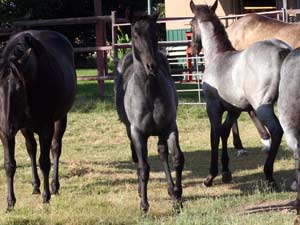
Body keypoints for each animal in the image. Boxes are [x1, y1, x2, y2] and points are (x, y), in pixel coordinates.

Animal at [0, 30, 76, 211]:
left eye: (18, 89)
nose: (7, 126)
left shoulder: (45, 128)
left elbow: (45, 162)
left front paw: (46, 197)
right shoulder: (6, 133)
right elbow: (9, 165)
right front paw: (10, 202)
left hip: (60, 118)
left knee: (55, 148)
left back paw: (54, 186)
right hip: (25, 129)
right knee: (31, 149)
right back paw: (35, 186)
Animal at [115, 12, 184, 213]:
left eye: (155, 35)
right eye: (135, 35)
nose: (152, 66)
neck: (150, 92)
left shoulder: (170, 127)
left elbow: (177, 158)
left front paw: (177, 197)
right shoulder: (138, 133)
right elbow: (144, 167)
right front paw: (144, 206)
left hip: (160, 132)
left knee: (162, 154)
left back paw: (171, 190)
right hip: (129, 130)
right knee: (138, 160)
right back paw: (141, 191)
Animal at [190, 0, 290, 186]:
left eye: (191, 23)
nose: (193, 49)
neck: (217, 57)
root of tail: (282, 50)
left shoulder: (212, 107)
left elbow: (214, 135)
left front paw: (210, 176)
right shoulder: (234, 110)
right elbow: (225, 132)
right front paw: (226, 172)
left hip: (263, 106)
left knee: (276, 131)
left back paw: (269, 174)